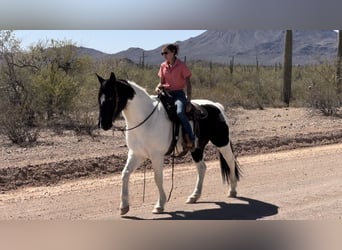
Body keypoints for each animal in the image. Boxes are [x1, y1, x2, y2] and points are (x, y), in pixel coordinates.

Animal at [97, 72, 240, 215]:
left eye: (110, 97)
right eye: (99, 98)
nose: (103, 124)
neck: (146, 119)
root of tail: (217, 105)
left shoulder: (156, 156)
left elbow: (158, 178)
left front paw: (160, 205)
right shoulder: (136, 154)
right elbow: (125, 174)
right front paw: (124, 207)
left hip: (221, 142)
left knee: (230, 161)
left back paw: (232, 190)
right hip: (197, 149)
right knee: (202, 168)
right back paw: (194, 196)